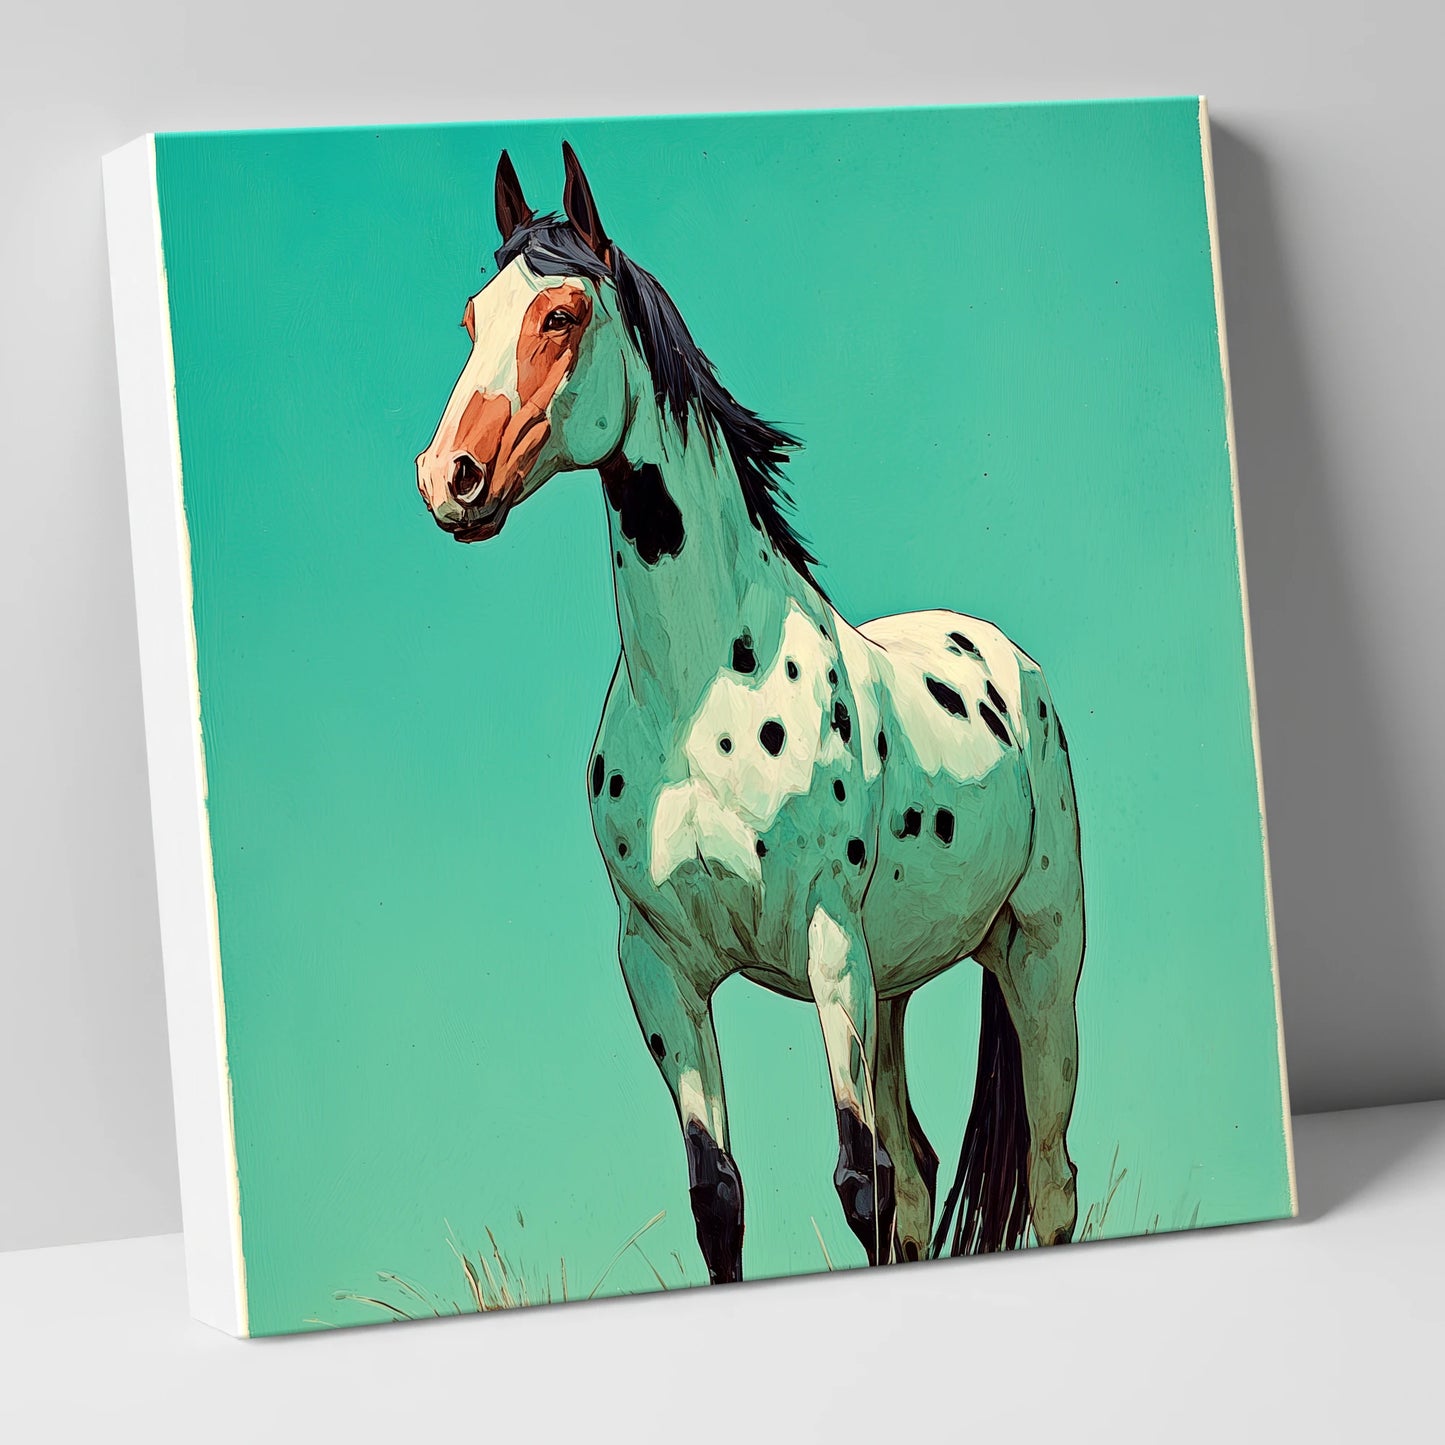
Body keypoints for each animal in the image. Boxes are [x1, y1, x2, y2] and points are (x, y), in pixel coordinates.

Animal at [415, 143, 1085, 1279]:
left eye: (561, 314)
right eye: (470, 318)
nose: (448, 477)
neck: (699, 693)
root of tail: (1012, 663)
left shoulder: (824, 941)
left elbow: (857, 1179)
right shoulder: (660, 968)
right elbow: (718, 1195)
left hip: (1037, 955)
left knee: (1044, 1179)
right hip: (894, 983)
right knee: (919, 1176)